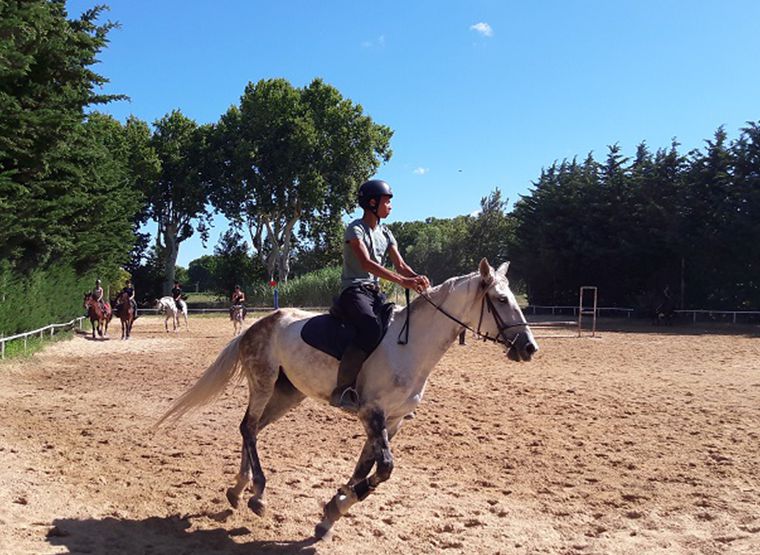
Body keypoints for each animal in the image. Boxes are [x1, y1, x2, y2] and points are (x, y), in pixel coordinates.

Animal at [156, 260, 536, 540]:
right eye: (501, 300)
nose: (530, 348)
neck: (411, 347)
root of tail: (258, 324)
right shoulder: (372, 413)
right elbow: (384, 469)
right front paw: (337, 505)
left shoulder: (392, 422)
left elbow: (365, 470)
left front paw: (331, 512)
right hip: (264, 384)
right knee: (248, 428)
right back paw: (257, 494)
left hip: (287, 394)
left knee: (252, 430)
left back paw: (238, 490)